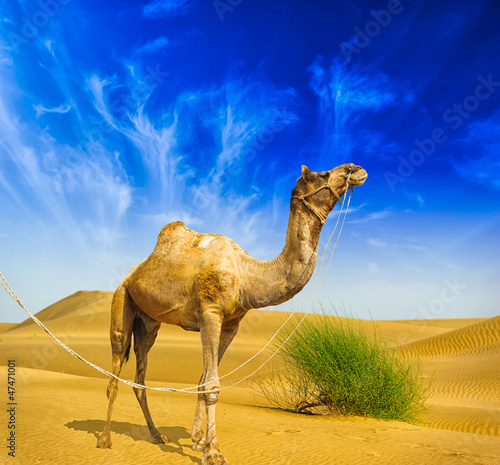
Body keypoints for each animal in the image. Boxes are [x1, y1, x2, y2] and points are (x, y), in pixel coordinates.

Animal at [95, 162, 368, 460]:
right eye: (323, 174)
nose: (356, 169)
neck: (247, 275)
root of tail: (133, 272)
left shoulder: (231, 325)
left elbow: (204, 380)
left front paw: (198, 441)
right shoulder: (210, 314)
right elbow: (212, 385)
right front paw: (213, 452)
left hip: (149, 323)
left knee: (140, 375)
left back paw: (157, 435)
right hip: (122, 298)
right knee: (115, 365)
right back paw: (105, 439)